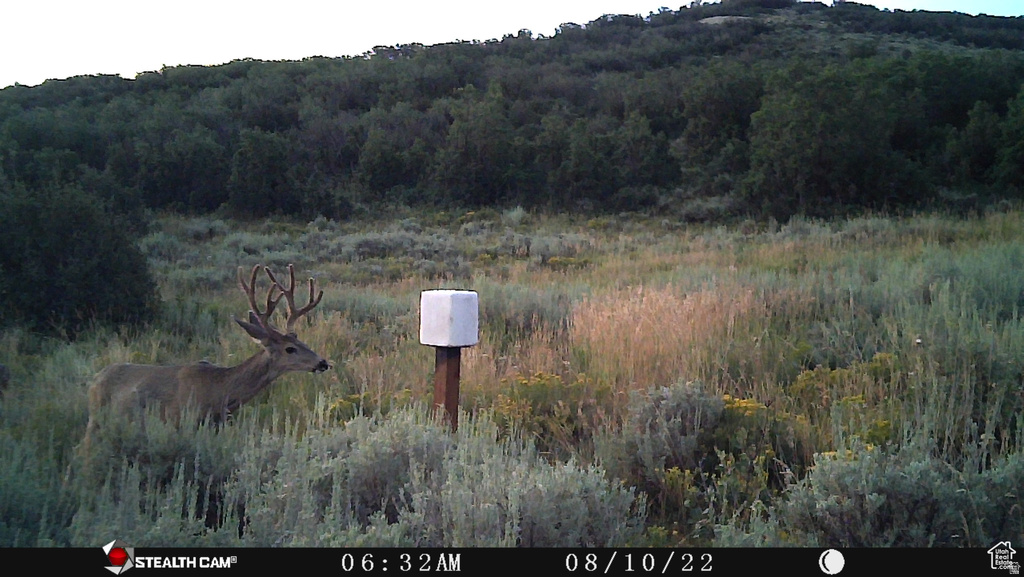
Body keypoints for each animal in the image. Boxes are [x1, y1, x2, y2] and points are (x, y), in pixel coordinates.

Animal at [81, 264, 332, 454]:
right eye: (290, 349)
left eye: (300, 340)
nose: (323, 362)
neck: (218, 391)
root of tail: (94, 379)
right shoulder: (178, 420)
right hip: (96, 417)